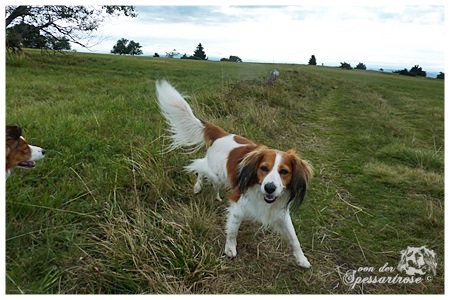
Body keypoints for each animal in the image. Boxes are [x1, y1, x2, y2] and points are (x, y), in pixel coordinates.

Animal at [155, 80, 312, 268]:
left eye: (284, 172)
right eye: (263, 168)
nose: (270, 187)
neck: (260, 192)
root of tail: (222, 134)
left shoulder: (281, 213)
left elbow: (294, 238)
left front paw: (302, 259)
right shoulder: (238, 205)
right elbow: (233, 230)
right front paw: (230, 249)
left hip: (221, 177)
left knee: (211, 180)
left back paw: (215, 196)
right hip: (214, 172)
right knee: (199, 166)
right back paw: (197, 186)